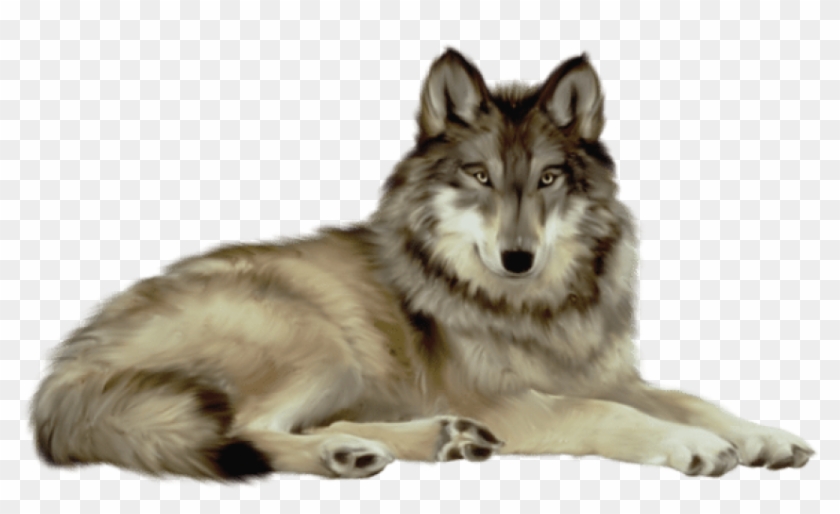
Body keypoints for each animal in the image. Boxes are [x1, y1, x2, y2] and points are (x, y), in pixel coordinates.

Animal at [31, 49, 814, 480]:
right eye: (480, 176)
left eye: (548, 180)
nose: (518, 257)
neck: (537, 306)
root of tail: (64, 371)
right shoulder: (510, 400)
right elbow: (605, 413)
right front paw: (693, 446)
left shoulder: (610, 375)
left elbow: (686, 396)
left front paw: (761, 434)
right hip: (319, 340)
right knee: (248, 431)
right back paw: (360, 452)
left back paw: (428, 441)